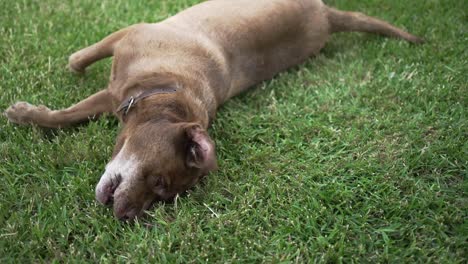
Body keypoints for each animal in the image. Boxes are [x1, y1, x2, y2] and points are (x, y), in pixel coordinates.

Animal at [3, 0, 422, 221]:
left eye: (161, 192)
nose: (127, 216)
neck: (169, 87)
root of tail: (328, 15)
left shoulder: (116, 96)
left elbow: (70, 113)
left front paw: (28, 115)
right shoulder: (127, 41)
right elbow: (79, 71)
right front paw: (70, 70)